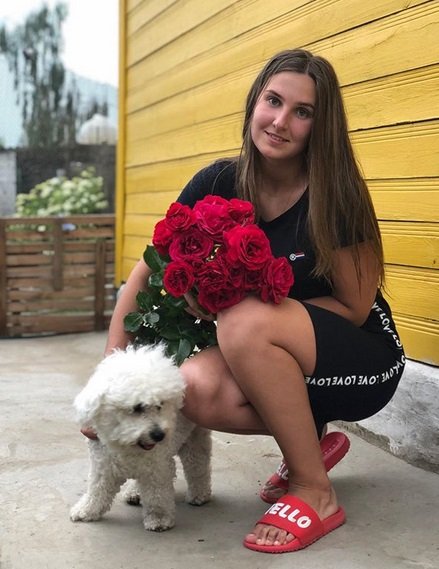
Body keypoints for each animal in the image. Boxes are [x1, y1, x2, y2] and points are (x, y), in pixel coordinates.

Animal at [69, 342, 212, 532]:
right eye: (137, 407)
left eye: (160, 405)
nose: (159, 435)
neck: (126, 446)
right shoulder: (103, 467)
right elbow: (96, 491)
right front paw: (86, 510)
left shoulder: (157, 468)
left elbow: (157, 495)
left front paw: (159, 519)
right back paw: (134, 492)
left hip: (194, 441)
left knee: (198, 467)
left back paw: (199, 495)